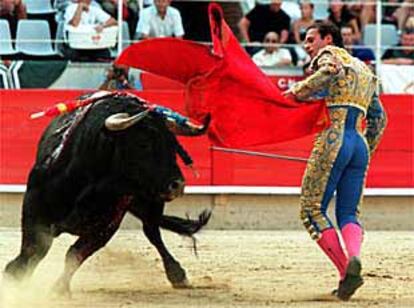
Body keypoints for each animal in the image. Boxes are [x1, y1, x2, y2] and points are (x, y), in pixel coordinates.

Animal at [5, 95, 213, 294]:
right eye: (143, 143)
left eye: (174, 145)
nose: (177, 185)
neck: (93, 186)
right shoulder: (33, 209)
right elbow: (34, 249)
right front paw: (14, 274)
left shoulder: (106, 226)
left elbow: (74, 254)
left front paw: (59, 289)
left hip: (152, 201)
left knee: (152, 231)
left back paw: (177, 275)